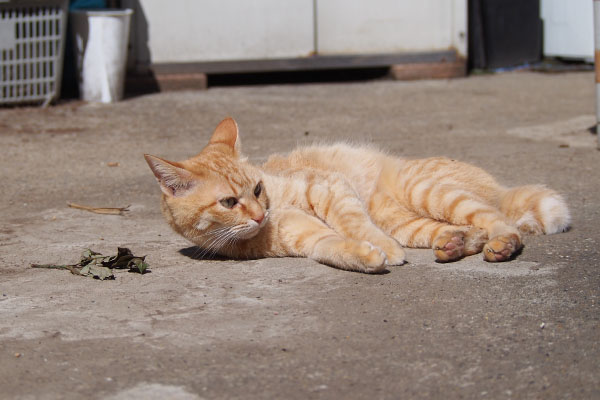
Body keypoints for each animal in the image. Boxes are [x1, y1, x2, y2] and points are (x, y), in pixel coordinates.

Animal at [145, 115, 572, 272]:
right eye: (229, 203)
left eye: (257, 188)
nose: (259, 214)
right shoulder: (302, 237)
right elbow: (333, 246)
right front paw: (365, 256)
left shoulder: (329, 188)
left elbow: (353, 222)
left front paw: (382, 250)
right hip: (410, 222)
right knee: (468, 231)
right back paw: (454, 245)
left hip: (430, 193)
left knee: (497, 221)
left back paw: (501, 245)